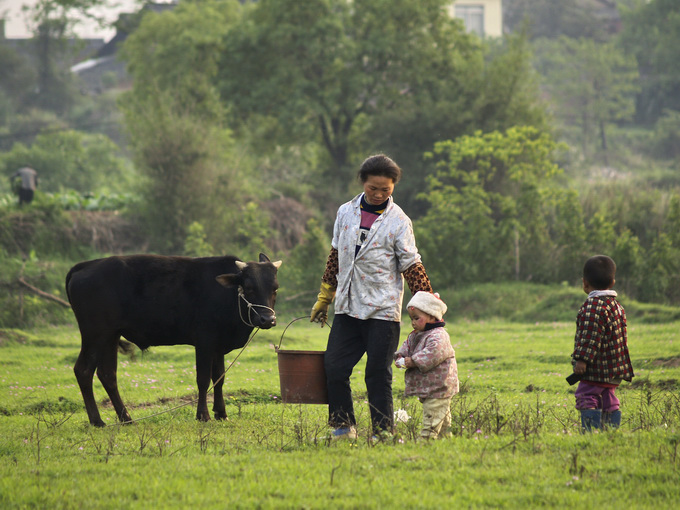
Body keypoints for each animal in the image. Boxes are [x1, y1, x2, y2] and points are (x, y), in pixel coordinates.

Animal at [66, 254, 282, 426]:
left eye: (275, 288)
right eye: (249, 287)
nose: (268, 319)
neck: (227, 296)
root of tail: (87, 265)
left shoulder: (218, 346)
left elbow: (219, 378)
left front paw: (221, 413)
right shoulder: (204, 342)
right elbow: (203, 379)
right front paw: (203, 415)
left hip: (110, 336)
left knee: (107, 374)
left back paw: (125, 418)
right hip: (95, 334)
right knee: (84, 371)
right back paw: (97, 420)